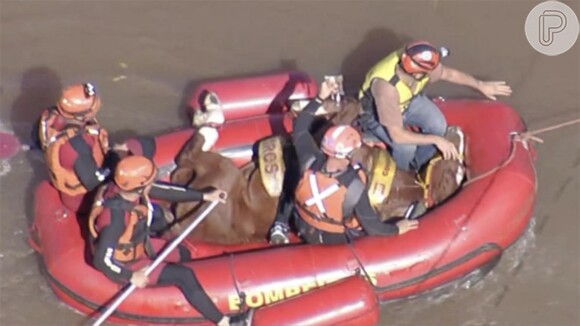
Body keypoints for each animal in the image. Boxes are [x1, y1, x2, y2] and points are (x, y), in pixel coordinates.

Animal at [170, 98, 464, 244]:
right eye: (455, 168)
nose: (456, 132)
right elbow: (340, 113)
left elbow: (342, 114)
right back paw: (210, 111)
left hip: (220, 172)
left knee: (192, 153)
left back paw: (211, 114)